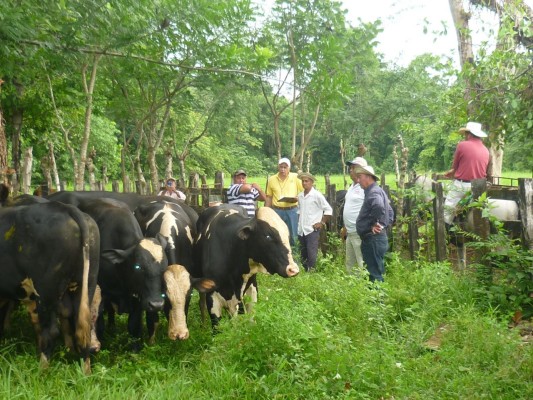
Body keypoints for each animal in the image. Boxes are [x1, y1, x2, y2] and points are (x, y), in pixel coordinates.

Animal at [0, 202, 100, 374]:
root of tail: (64, 207)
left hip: (46, 291)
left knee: (51, 331)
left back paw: (42, 371)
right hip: (87, 283)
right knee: (82, 328)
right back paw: (85, 372)